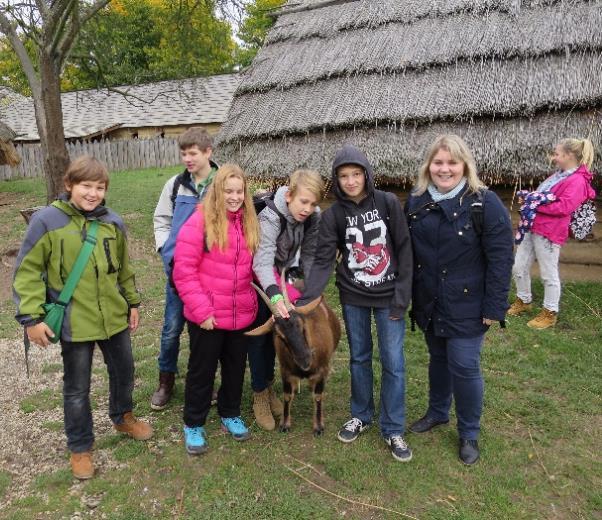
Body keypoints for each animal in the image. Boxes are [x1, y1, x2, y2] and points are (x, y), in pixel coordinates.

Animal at [244, 272, 338, 434]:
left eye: (302, 324)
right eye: (280, 336)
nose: (305, 361)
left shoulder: (322, 370)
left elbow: (318, 396)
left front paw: (318, 426)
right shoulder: (286, 371)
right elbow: (287, 396)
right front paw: (284, 424)